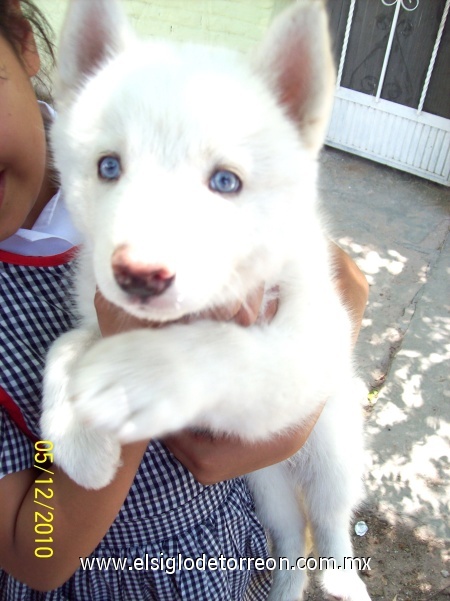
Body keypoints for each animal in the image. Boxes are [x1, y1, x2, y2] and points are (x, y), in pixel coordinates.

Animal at [42, 2, 370, 596]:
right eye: (108, 166)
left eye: (225, 181)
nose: (139, 275)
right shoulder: (103, 312)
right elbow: (67, 345)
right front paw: (78, 440)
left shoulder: (308, 341)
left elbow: (225, 351)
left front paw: (140, 375)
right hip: (265, 479)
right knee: (293, 534)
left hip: (330, 441)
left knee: (330, 517)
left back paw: (341, 579)